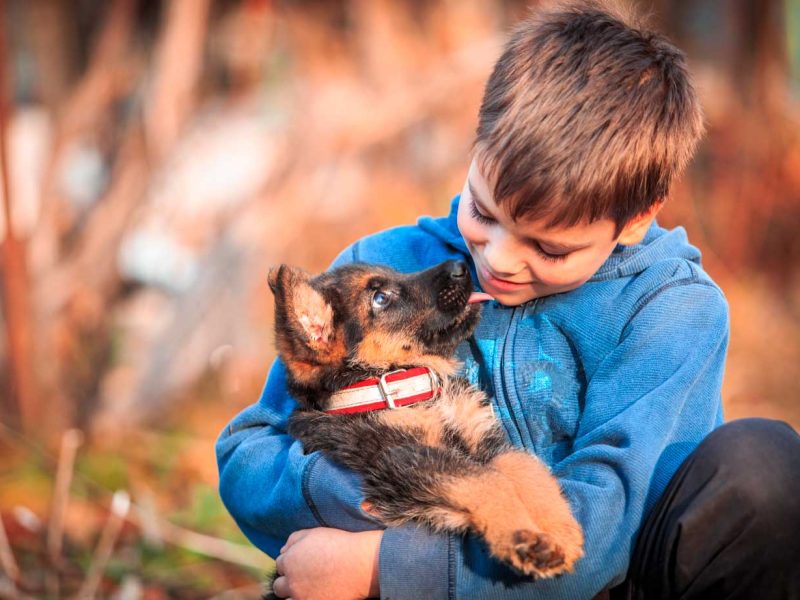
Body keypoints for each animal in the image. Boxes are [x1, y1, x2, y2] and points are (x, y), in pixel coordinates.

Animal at [266, 258, 584, 596]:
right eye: (380, 298)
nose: (460, 264)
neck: (407, 388)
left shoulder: (486, 439)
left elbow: (525, 466)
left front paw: (561, 531)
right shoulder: (400, 458)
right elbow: (485, 480)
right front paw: (524, 537)